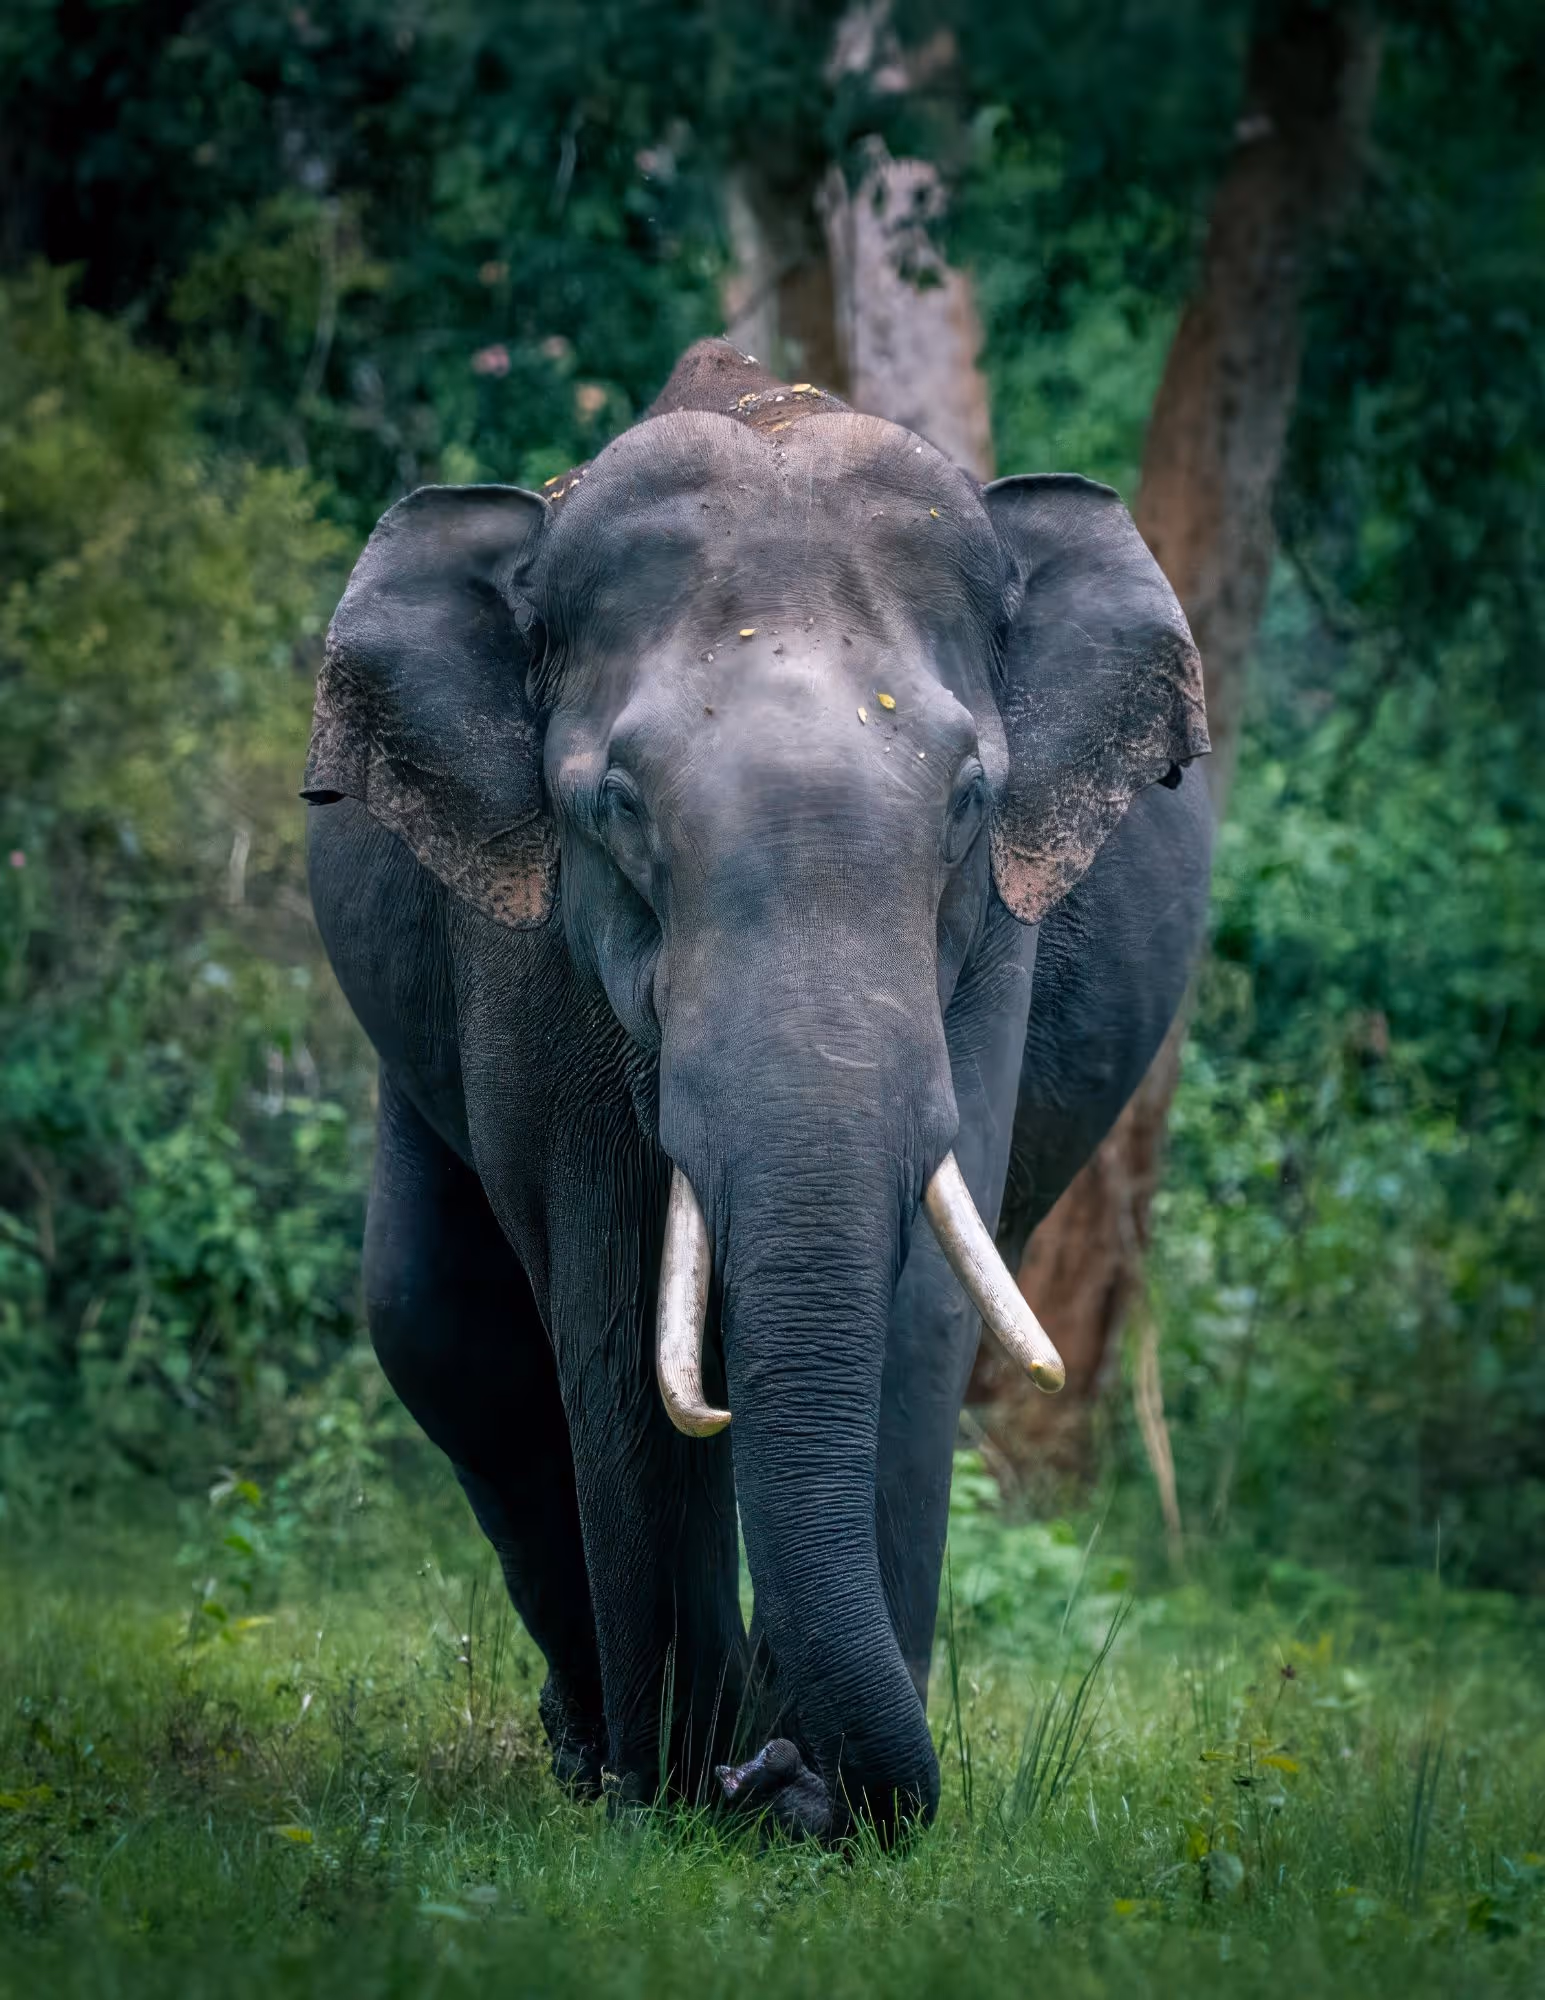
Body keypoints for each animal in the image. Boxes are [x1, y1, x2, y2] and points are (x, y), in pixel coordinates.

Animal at [303, 336, 1211, 1843]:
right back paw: (592, 1751)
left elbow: (918, 1306)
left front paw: (811, 1804)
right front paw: (683, 1793)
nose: (780, 1781)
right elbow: (613, 1303)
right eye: (615, 806)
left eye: (971, 798)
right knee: (437, 1328)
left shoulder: (990, 951)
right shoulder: (530, 950)